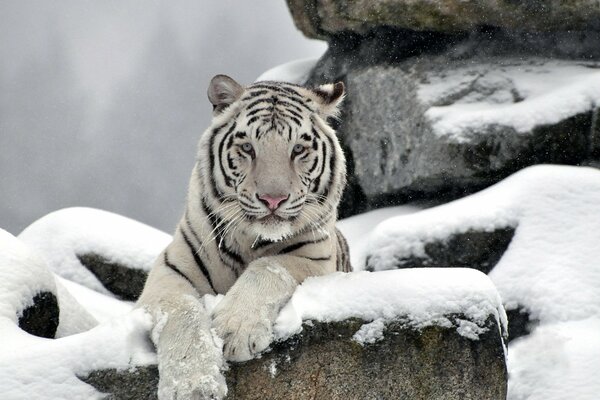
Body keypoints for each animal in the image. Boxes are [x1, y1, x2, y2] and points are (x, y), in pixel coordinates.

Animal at [138, 74, 350, 396]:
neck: (250, 240)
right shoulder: (169, 270)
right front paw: (193, 386)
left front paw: (234, 331)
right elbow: (182, 312)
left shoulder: (315, 259)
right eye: (248, 148)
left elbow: (268, 267)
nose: (273, 199)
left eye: (298, 149)